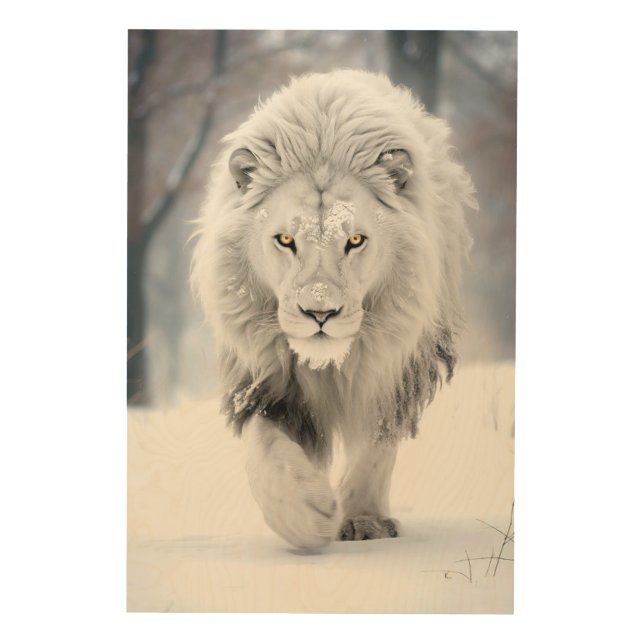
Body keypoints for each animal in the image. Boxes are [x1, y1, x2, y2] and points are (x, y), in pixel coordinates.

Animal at [191, 70, 476, 549]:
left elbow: (376, 445)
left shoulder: (395, 368)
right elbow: (265, 447)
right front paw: (306, 512)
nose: (319, 314)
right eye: (286, 240)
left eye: (355, 240)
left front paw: (362, 520)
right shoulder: (263, 377)